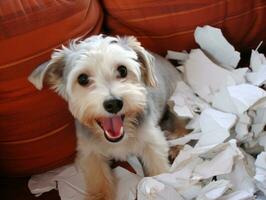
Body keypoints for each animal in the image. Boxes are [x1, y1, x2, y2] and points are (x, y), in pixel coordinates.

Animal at [28, 35, 180, 199]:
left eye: (122, 70)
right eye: (82, 79)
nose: (113, 104)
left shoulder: (153, 143)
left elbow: (159, 171)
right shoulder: (90, 153)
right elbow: (99, 182)